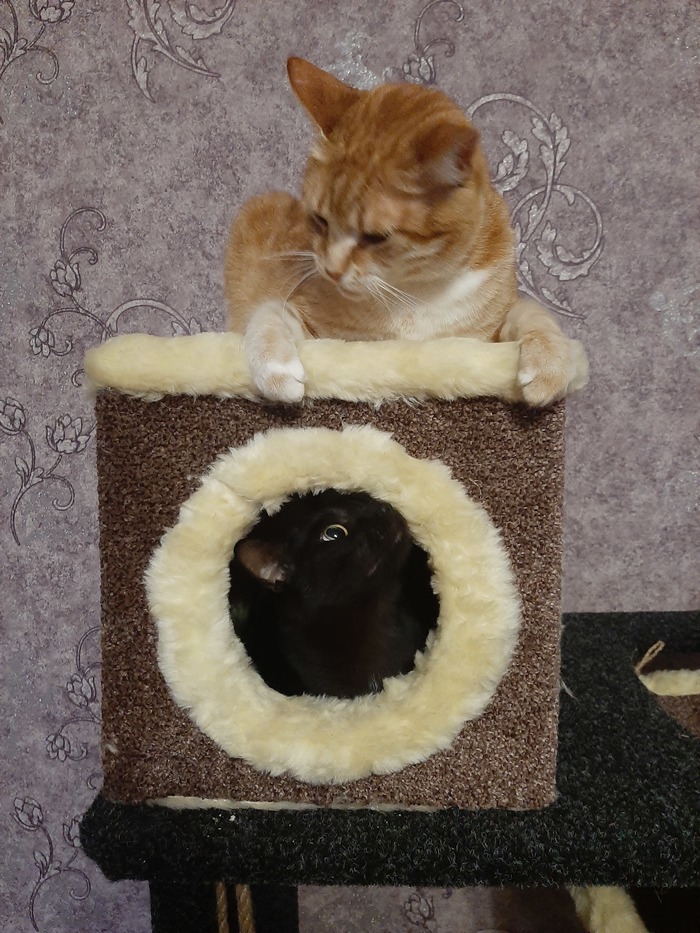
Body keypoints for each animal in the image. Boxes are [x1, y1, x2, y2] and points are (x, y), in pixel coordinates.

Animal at [224, 57, 586, 407]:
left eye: (375, 237)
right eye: (320, 220)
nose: (331, 270)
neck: (410, 292)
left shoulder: (485, 338)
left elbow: (534, 313)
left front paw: (549, 365)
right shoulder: (314, 326)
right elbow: (270, 313)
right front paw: (276, 369)